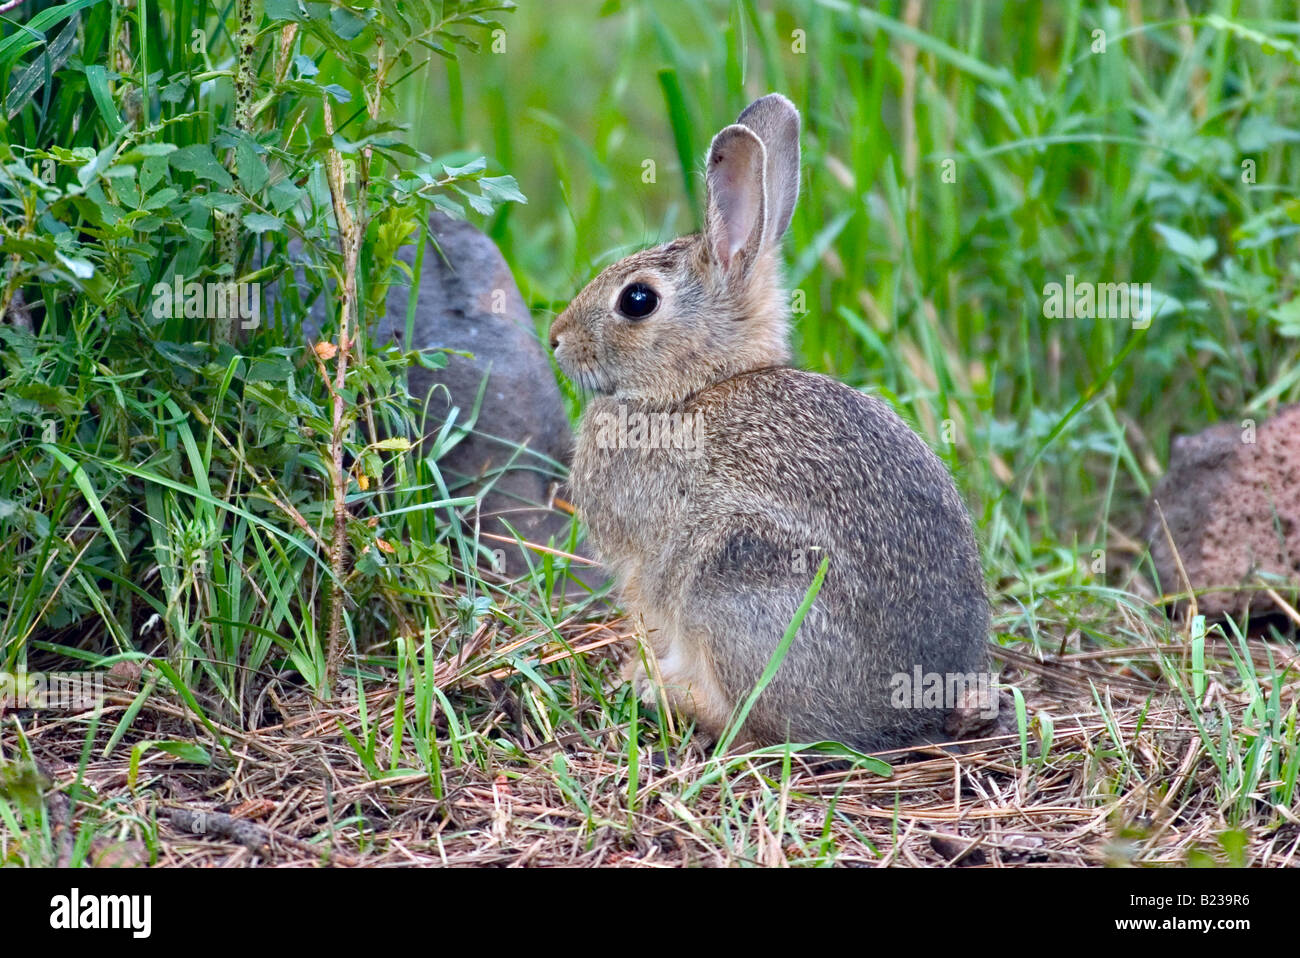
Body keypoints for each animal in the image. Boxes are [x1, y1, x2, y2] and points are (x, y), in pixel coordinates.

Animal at [546, 93, 982, 748]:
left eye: (637, 300)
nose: (556, 339)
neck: (692, 388)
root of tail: (910, 707)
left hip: (735, 578)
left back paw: (662, 693)